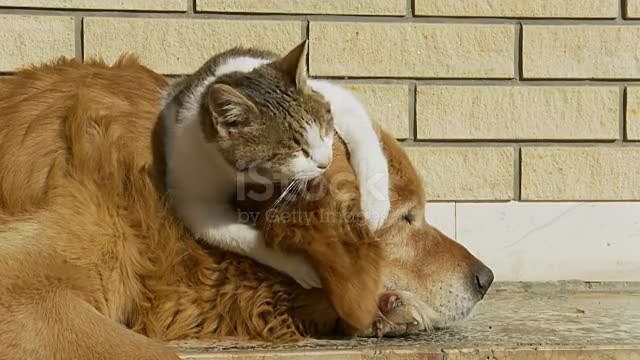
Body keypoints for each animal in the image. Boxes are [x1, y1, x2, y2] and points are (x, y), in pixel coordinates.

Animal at [161, 41, 390, 290]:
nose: (326, 162)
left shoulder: (337, 98)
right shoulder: (193, 197)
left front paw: (374, 206)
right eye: (295, 151)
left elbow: (364, 137)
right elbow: (242, 238)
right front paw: (300, 265)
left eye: (322, 129)